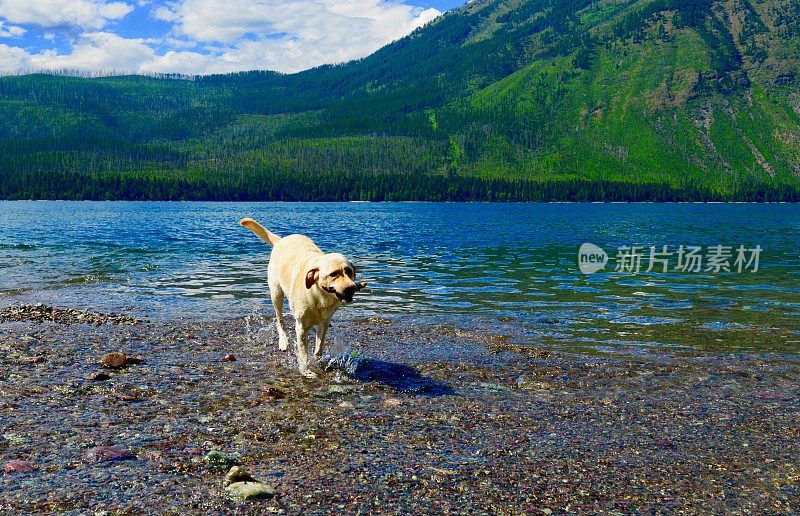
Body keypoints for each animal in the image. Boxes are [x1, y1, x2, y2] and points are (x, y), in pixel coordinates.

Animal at [236, 218, 364, 378]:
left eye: (349, 271)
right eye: (334, 274)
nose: (351, 288)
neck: (318, 295)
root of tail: (281, 240)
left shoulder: (324, 323)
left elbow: (319, 347)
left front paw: (318, 362)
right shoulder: (301, 327)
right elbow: (303, 353)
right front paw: (306, 370)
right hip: (276, 293)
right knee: (279, 320)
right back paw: (283, 341)